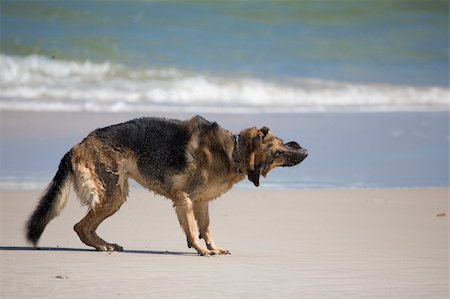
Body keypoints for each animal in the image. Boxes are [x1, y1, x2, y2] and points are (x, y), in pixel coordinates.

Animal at [26, 116, 308, 256]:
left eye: (283, 143)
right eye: (278, 151)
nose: (304, 150)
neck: (233, 152)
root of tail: (78, 145)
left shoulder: (201, 203)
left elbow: (206, 228)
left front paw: (212, 248)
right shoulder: (183, 199)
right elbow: (193, 229)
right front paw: (201, 250)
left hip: (115, 197)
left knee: (83, 227)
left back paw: (106, 245)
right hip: (112, 194)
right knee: (81, 226)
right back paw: (103, 247)